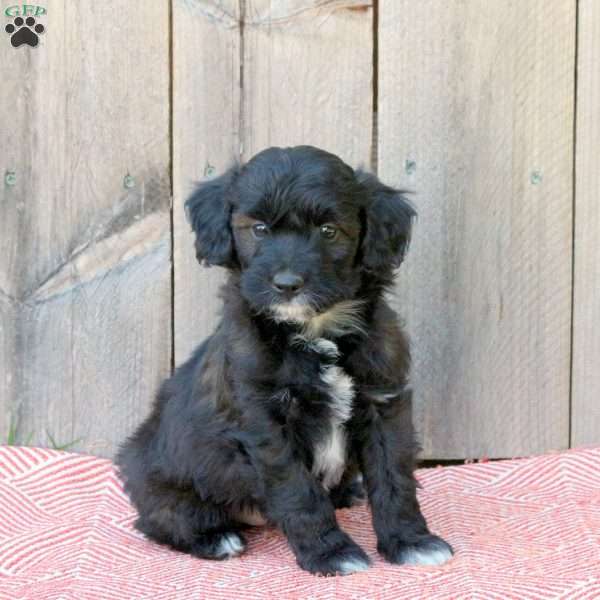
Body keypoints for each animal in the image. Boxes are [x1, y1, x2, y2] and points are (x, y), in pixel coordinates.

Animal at [117, 146, 452, 576]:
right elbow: (299, 492)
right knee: (160, 521)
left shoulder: (383, 401)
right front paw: (331, 553)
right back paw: (215, 539)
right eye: (259, 229)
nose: (287, 284)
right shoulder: (266, 422)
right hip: (165, 484)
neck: (315, 330)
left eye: (328, 231)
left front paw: (411, 541)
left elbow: (394, 477)